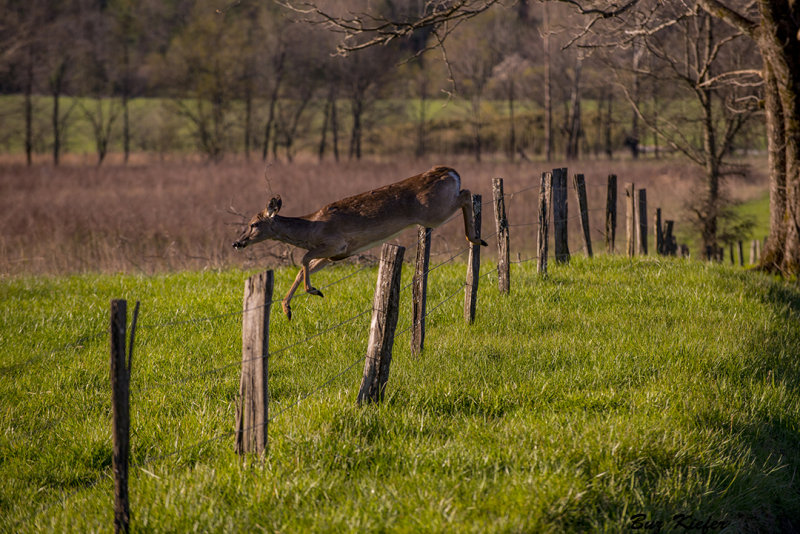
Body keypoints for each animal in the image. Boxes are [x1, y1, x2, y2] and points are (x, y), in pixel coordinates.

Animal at [231, 165, 488, 320]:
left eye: (254, 224)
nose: (237, 243)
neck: (311, 227)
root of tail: (449, 171)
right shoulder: (333, 255)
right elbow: (303, 268)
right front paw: (287, 308)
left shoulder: (334, 243)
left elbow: (303, 259)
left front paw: (313, 291)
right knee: (466, 193)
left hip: (433, 212)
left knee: (466, 193)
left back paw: (475, 237)